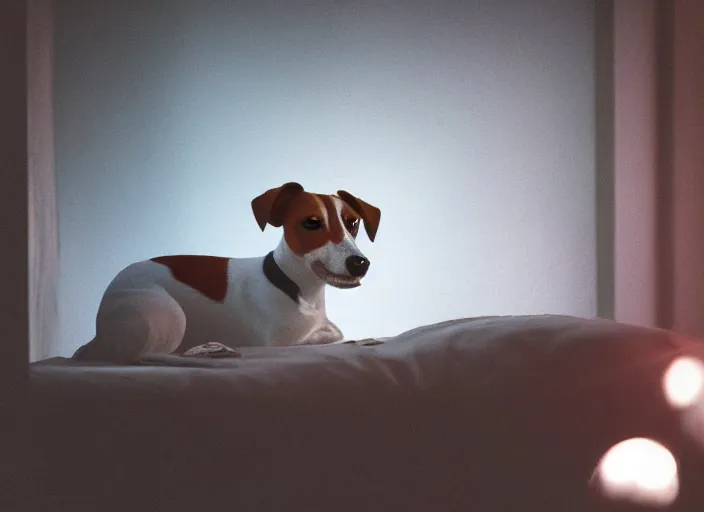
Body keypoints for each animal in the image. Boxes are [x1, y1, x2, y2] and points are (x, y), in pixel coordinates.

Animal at [71, 181, 380, 364]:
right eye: (312, 222)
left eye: (353, 223)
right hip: (168, 314)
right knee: (148, 355)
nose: (360, 263)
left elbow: (334, 331)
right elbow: (332, 336)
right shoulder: (279, 340)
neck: (294, 287)